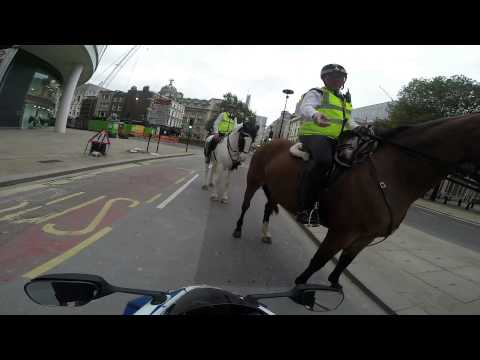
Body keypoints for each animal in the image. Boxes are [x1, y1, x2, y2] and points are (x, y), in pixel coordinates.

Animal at [232, 114, 480, 288]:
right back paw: (238, 229)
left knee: (267, 207)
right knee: (245, 205)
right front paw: (300, 286)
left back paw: (265, 234)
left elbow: (344, 263)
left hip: (275, 189)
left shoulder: (365, 236)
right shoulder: (342, 232)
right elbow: (319, 260)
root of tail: (268, 142)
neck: (392, 172)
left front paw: (333, 285)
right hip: (254, 180)